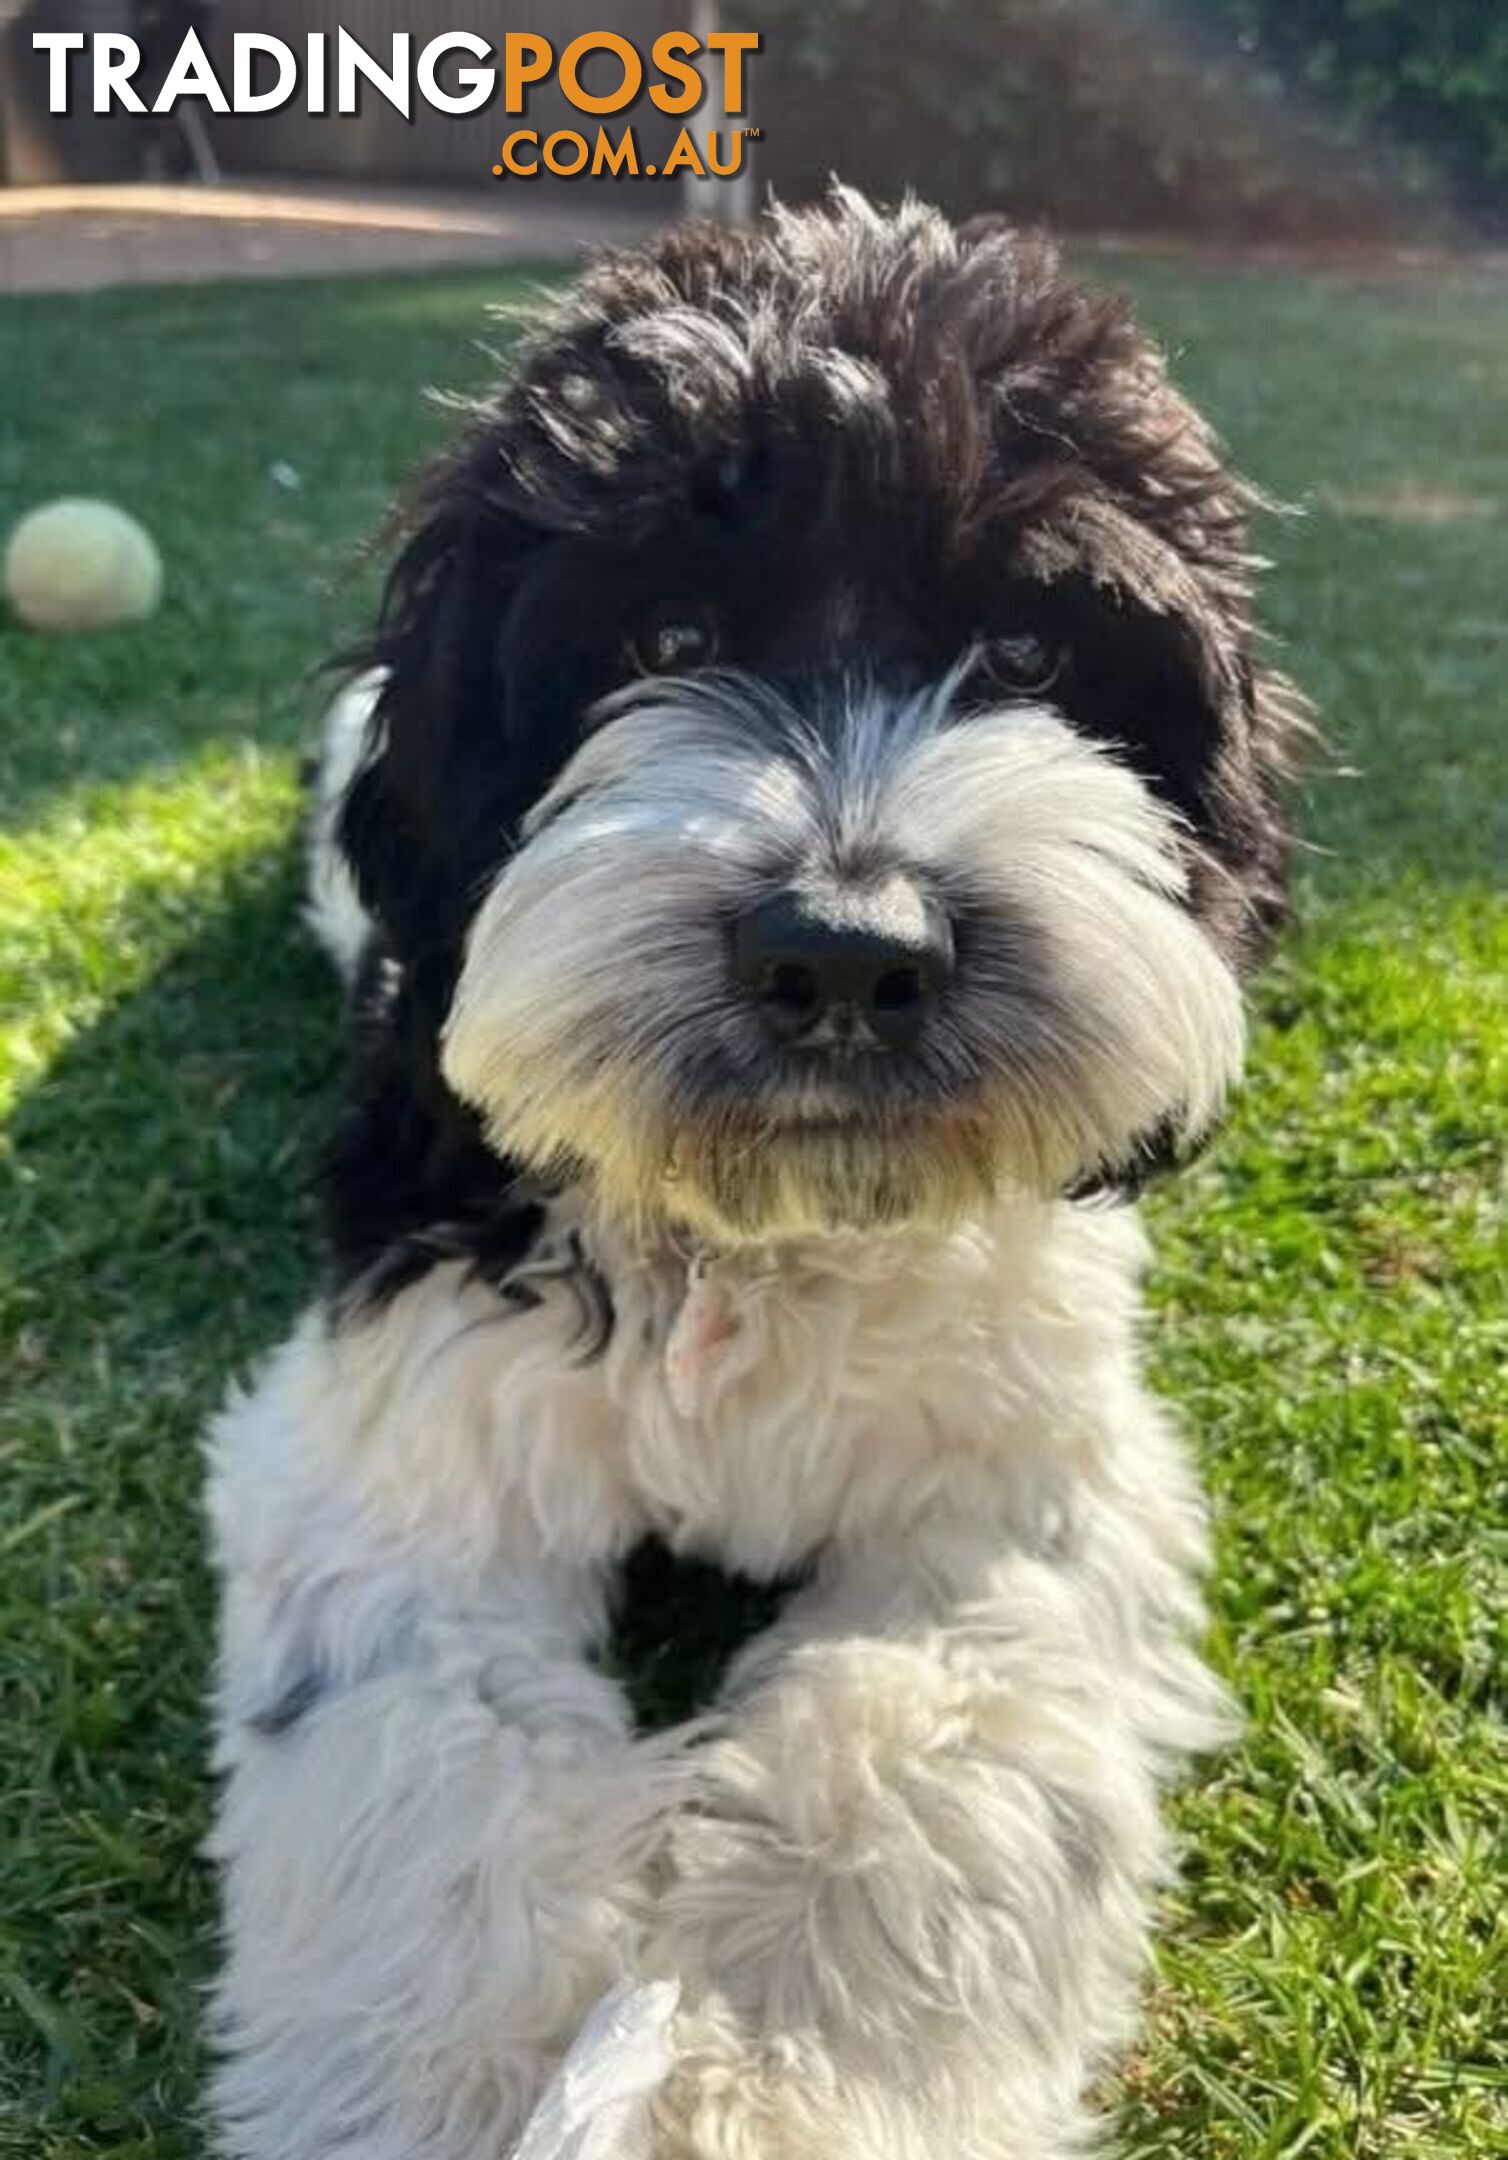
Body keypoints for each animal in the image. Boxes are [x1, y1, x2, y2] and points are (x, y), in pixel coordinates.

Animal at [205, 190, 1296, 2160]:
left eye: (1031, 661)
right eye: (663, 634)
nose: (846, 952)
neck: (763, 1228)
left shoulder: (1002, 1507)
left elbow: (899, 1776)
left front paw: (752, 2082)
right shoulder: (409, 1455)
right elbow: (434, 1784)